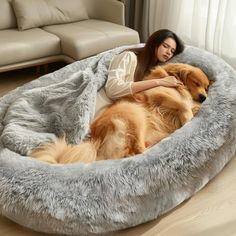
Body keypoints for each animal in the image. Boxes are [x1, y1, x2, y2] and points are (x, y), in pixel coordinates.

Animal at [31, 62, 210, 164]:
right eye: (196, 83)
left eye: (207, 87)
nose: (204, 97)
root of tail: (96, 140)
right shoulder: (157, 95)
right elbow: (183, 104)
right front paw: (187, 120)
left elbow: (190, 105)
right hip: (135, 114)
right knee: (138, 151)